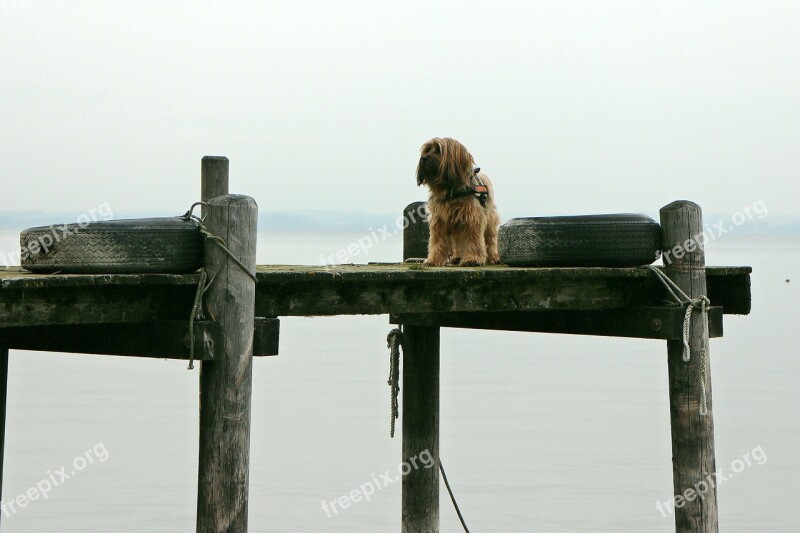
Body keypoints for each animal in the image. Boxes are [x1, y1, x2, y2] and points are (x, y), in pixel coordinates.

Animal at [418, 137, 500, 266]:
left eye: (438, 150)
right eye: (427, 150)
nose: (423, 158)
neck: (450, 191)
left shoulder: (472, 218)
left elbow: (473, 240)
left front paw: (472, 258)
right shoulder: (439, 220)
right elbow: (437, 242)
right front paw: (433, 259)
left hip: (490, 218)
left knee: (490, 239)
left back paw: (493, 257)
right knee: (458, 242)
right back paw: (457, 257)